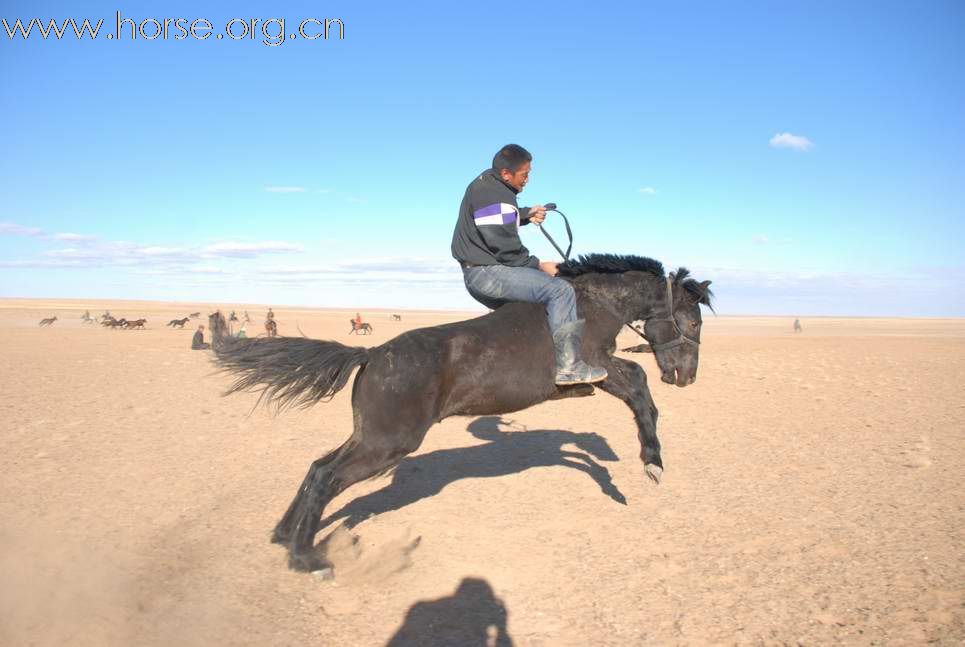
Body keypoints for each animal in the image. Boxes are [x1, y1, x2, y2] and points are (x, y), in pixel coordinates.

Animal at [209, 256, 708, 576]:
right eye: (695, 322)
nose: (686, 377)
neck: (592, 304)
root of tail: (371, 353)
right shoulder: (598, 367)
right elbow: (638, 384)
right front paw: (651, 463)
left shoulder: (600, 373)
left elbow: (634, 392)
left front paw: (646, 463)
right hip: (387, 443)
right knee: (329, 477)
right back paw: (306, 558)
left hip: (370, 436)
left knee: (317, 467)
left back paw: (283, 534)